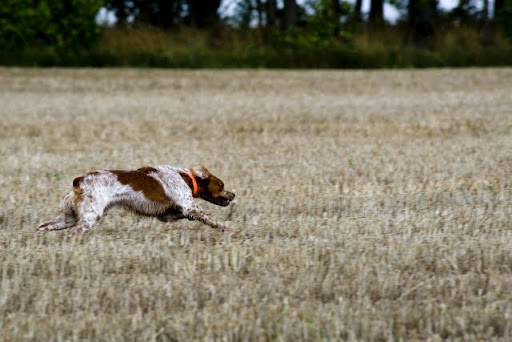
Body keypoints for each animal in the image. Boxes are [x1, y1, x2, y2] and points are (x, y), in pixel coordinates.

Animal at [38, 164, 236, 234]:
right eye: (222, 186)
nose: (233, 194)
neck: (186, 177)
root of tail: (79, 180)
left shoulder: (167, 214)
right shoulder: (189, 206)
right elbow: (211, 219)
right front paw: (228, 227)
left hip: (68, 217)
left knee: (43, 226)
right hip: (89, 217)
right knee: (75, 233)